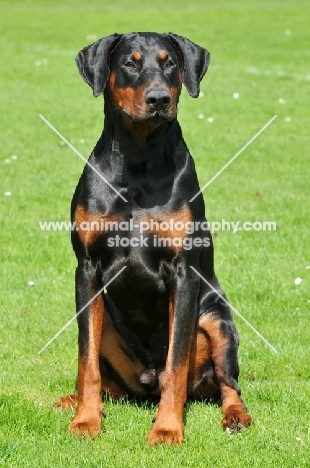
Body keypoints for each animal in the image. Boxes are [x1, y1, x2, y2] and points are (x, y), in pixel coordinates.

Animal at [55, 32, 253, 442]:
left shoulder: (184, 272)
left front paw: (167, 429)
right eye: (129, 63)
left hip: (217, 321)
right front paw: (85, 421)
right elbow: (86, 360)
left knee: (228, 383)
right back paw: (76, 400)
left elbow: (177, 362)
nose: (159, 98)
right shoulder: (87, 270)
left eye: (170, 63)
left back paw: (235, 416)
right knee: (107, 378)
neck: (138, 159)